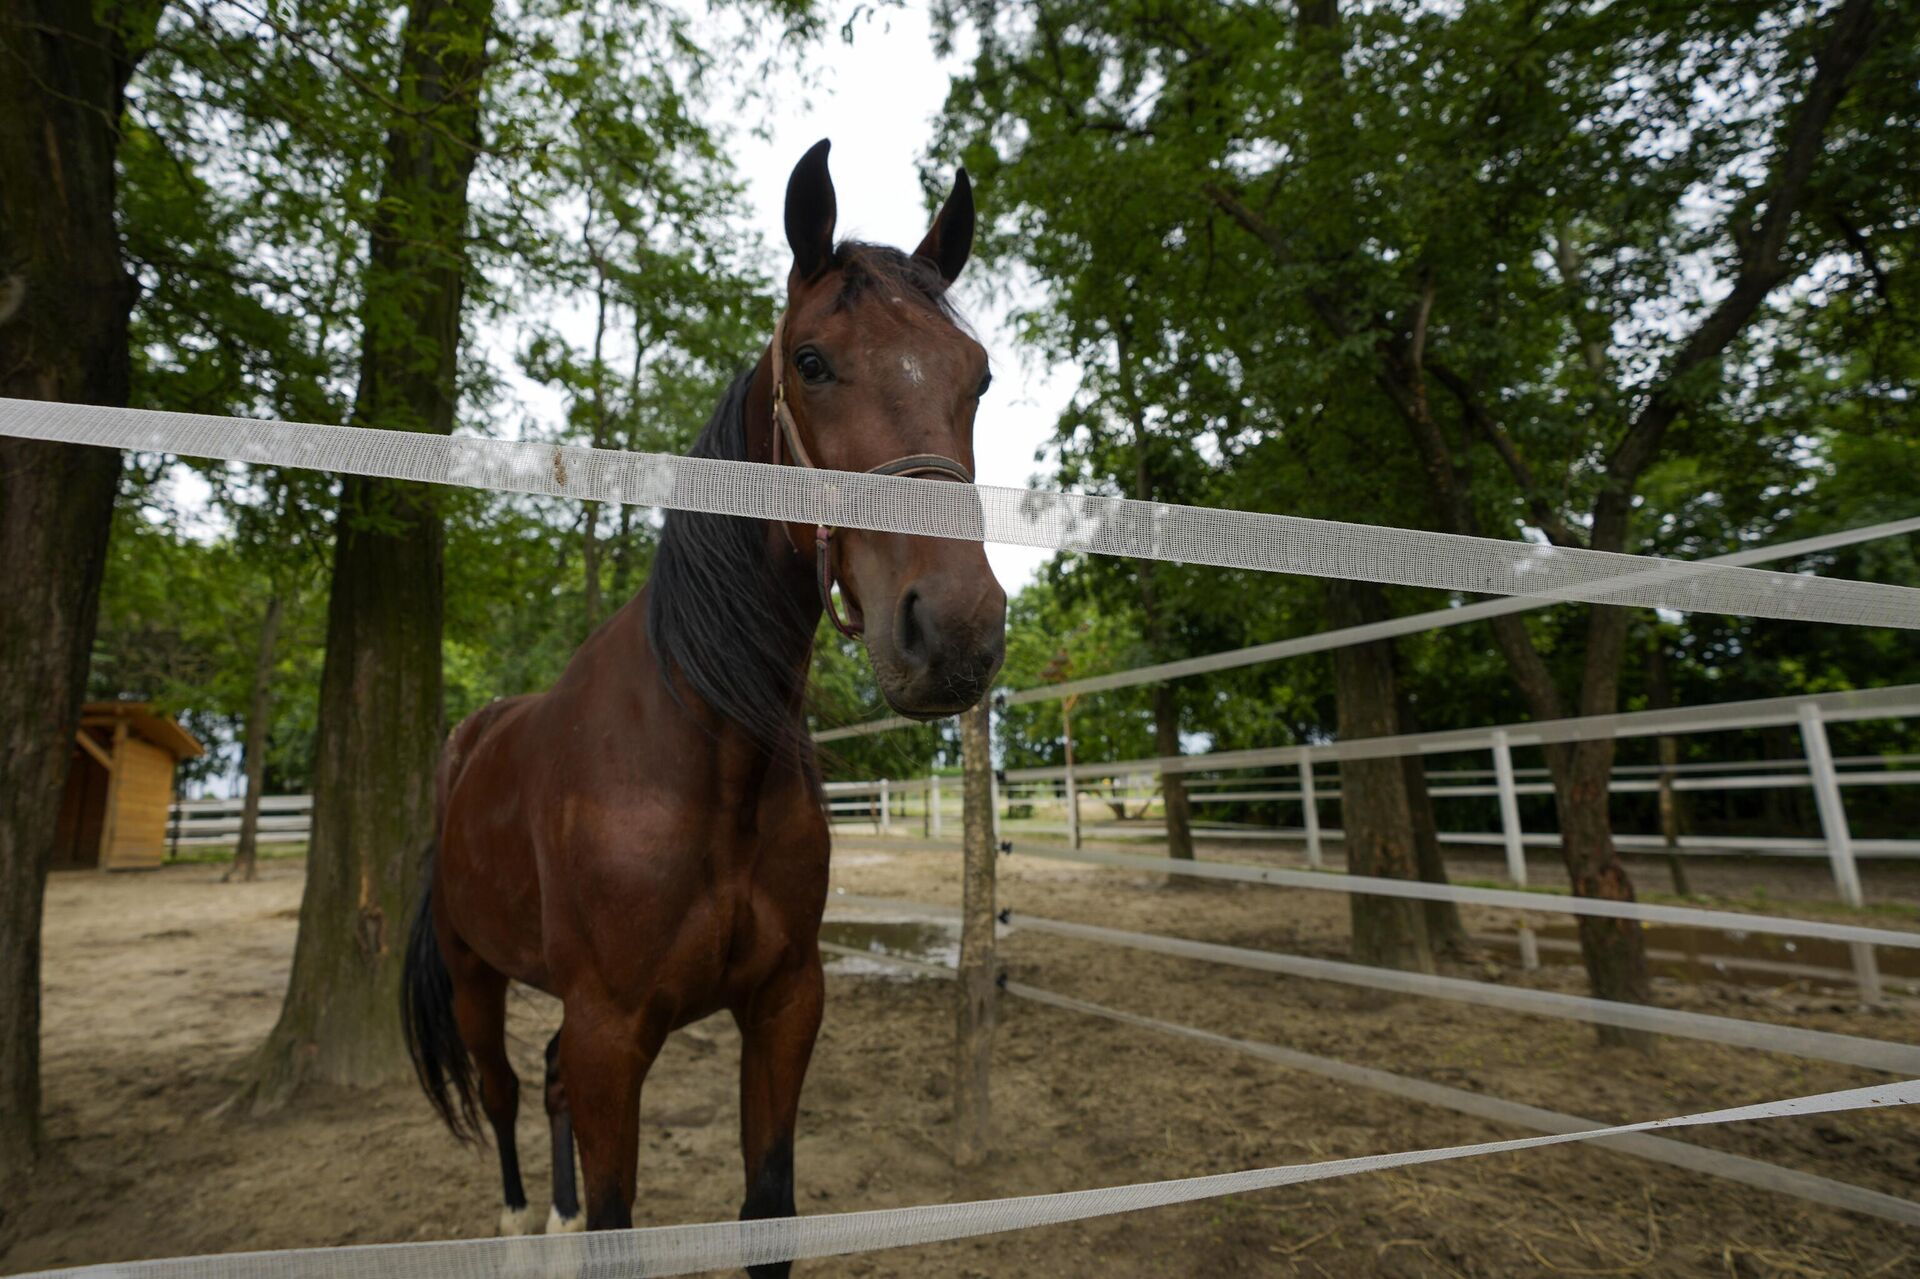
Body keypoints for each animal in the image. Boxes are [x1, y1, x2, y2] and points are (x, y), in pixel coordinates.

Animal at [399, 139, 1013, 1267]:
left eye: (978, 375)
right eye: (811, 361)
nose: (954, 631)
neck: (706, 755)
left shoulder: (783, 1005)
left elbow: (764, 1212)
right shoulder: (612, 1032)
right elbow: (617, 1216)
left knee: (544, 1088)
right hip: (472, 975)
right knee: (504, 1093)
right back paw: (520, 1225)